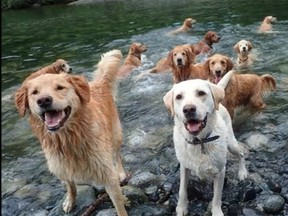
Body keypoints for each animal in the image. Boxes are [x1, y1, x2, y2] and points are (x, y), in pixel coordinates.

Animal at [14, 49, 129, 215]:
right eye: (34, 92)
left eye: (60, 87)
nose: (43, 100)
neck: (68, 138)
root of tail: (99, 83)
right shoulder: (62, 166)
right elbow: (70, 186)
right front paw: (70, 201)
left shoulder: (107, 173)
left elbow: (119, 205)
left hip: (115, 135)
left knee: (117, 155)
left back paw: (121, 173)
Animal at [163, 72, 249, 216]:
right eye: (179, 97)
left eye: (201, 93)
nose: (188, 109)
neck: (199, 141)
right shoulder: (184, 167)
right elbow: (182, 190)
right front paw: (181, 207)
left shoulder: (220, 171)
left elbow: (217, 196)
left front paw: (217, 211)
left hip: (231, 144)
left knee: (241, 154)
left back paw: (242, 172)